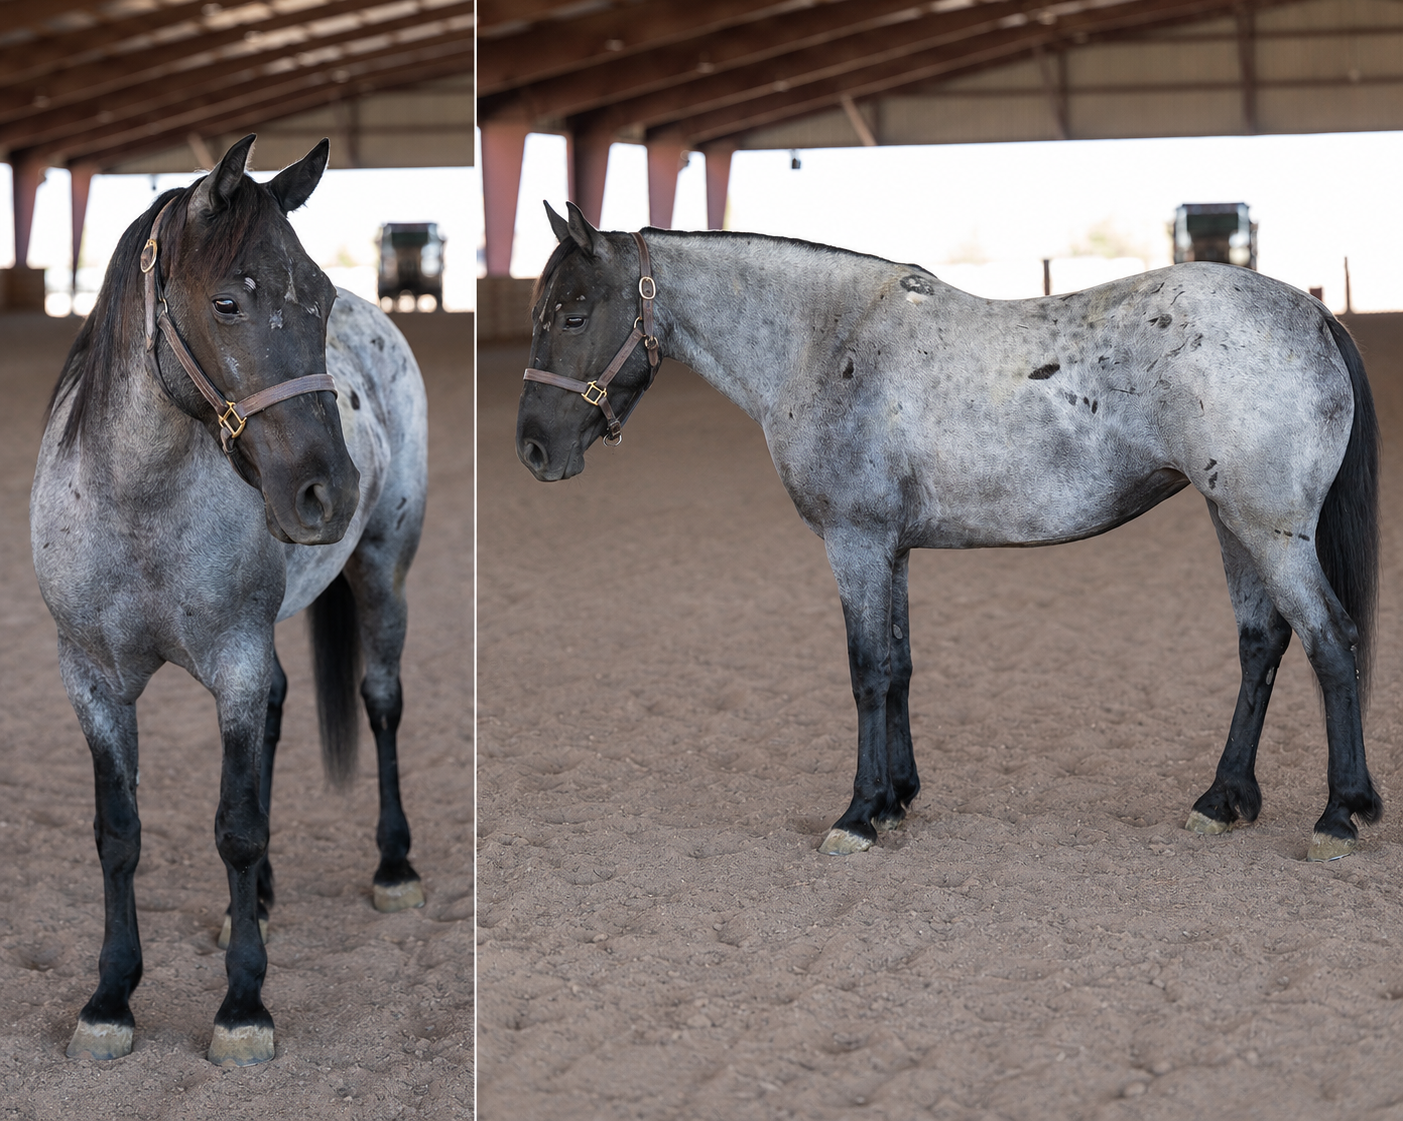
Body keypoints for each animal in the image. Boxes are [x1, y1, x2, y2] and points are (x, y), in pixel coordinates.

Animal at [30, 135, 428, 1067]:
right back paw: (268, 896)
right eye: (227, 301)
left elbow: (237, 826)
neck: (135, 506)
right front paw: (110, 998)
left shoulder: (236, 664)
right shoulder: (90, 680)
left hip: (383, 572)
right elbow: (118, 832)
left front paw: (244, 1004)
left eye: (317, 298)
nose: (327, 493)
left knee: (381, 700)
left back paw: (394, 867)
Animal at [517, 202, 1380, 867]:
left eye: (573, 313)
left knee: (1331, 642)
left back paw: (1341, 814)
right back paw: (1223, 799)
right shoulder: (891, 548)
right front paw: (896, 798)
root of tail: (1309, 311)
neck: (826, 342)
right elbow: (899, 666)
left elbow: (866, 671)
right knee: (1260, 644)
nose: (532, 450)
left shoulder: (855, 542)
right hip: (1231, 522)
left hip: (1268, 530)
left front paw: (857, 815)